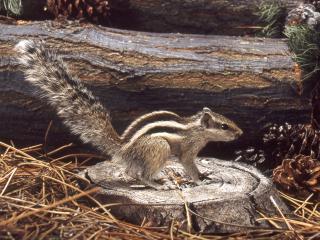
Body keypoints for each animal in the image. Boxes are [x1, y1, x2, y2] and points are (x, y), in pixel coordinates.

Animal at [15, 40, 242, 190]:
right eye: (224, 126)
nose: (240, 133)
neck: (196, 128)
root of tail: (124, 148)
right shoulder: (187, 150)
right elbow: (189, 165)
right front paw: (201, 179)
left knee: (130, 172)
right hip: (159, 147)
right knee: (140, 174)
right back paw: (158, 185)